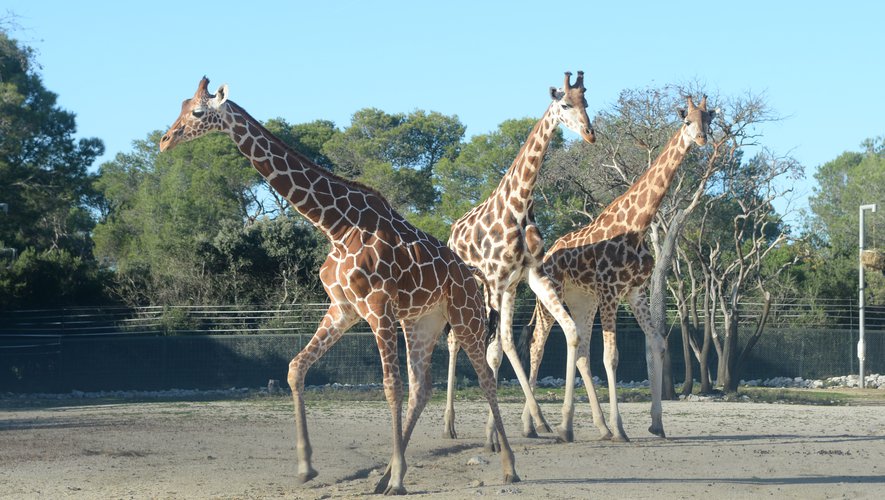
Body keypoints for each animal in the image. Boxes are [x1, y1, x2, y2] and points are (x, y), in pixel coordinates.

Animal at [160, 76, 516, 494]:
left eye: (199, 112)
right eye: (182, 106)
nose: (165, 140)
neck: (335, 226)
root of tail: (475, 278)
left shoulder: (378, 307)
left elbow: (390, 386)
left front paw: (399, 479)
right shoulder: (344, 308)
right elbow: (295, 368)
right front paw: (306, 467)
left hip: (465, 317)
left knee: (484, 377)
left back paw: (507, 466)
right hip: (422, 322)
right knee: (421, 386)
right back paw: (383, 476)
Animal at [446, 70, 596, 446]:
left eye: (586, 102)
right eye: (564, 104)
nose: (590, 134)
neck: (520, 204)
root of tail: (451, 232)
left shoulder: (530, 275)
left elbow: (568, 331)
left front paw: (554, 424)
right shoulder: (496, 279)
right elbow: (494, 350)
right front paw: (516, 428)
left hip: (506, 290)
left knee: (504, 343)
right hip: (472, 286)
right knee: (458, 341)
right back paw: (449, 425)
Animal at [520, 94, 716, 442]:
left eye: (709, 120)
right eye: (687, 121)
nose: (702, 138)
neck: (638, 226)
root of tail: (550, 253)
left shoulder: (634, 291)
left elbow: (657, 345)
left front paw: (656, 423)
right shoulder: (611, 291)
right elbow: (611, 357)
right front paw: (621, 428)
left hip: (583, 300)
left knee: (580, 350)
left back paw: (589, 427)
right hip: (550, 298)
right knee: (537, 347)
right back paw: (534, 426)